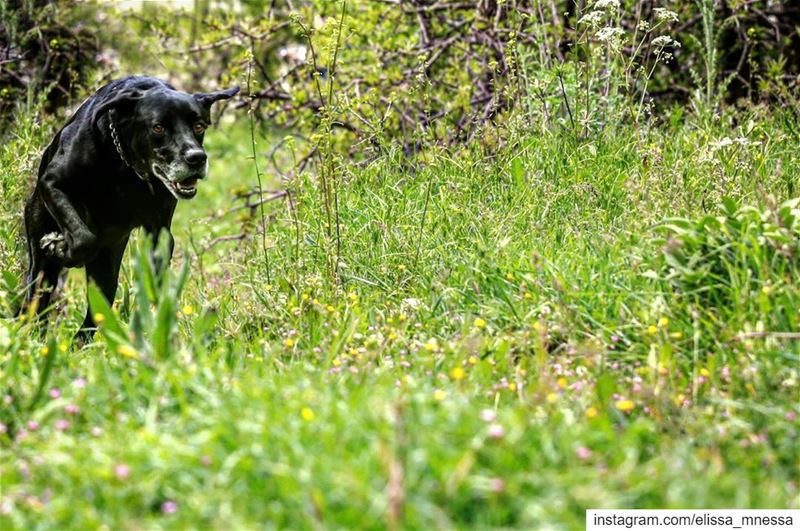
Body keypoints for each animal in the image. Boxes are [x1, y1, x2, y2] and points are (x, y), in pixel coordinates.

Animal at [21, 75, 239, 336]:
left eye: (199, 126)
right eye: (158, 127)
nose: (196, 158)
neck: (124, 167)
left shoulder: (159, 231)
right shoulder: (53, 184)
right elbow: (84, 237)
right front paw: (63, 248)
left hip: (105, 274)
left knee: (93, 316)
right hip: (41, 266)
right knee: (35, 303)